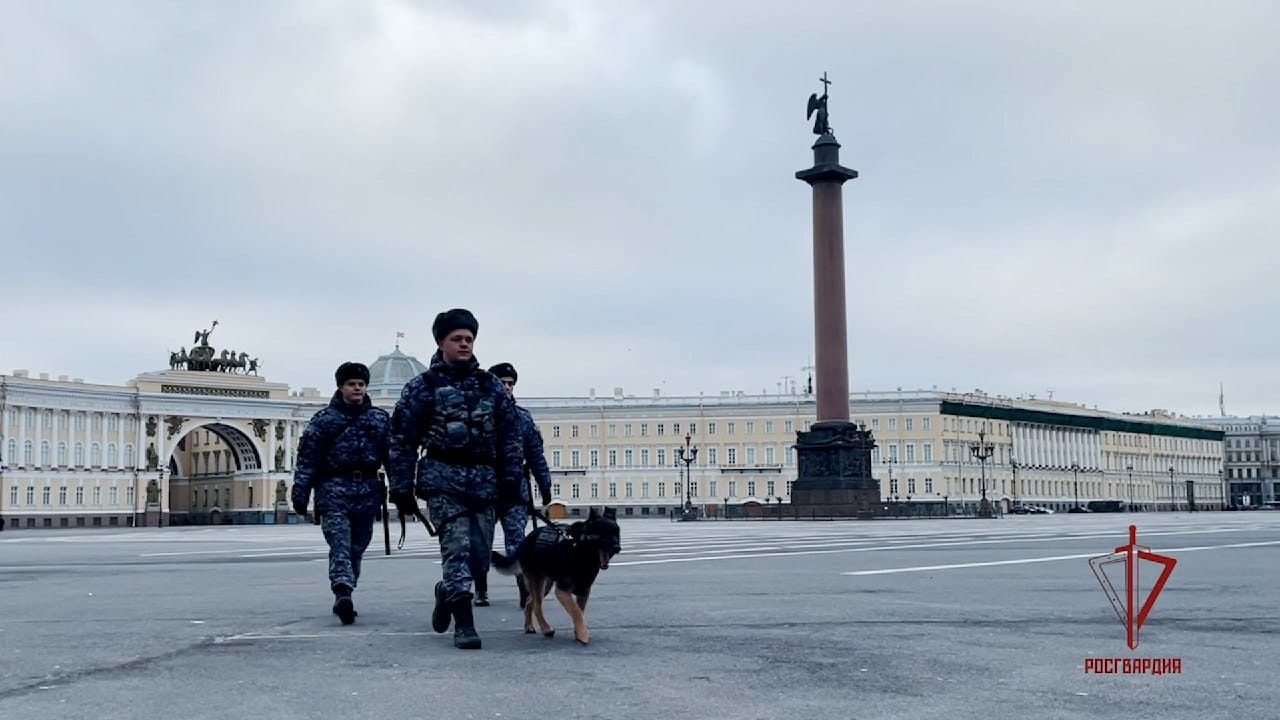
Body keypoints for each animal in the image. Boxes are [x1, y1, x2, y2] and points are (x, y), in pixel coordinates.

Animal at [488, 504, 619, 645]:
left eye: (616, 532)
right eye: (604, 533)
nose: (618, 548)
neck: (579, 548)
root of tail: (525, 540)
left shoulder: (584, 592)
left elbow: (580, 612)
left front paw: (578, 632)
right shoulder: (562, 591)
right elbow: (576, 612)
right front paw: (583, 634)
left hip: (545, 585)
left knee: (530, 602)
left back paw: (529, 626)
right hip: (538, 582)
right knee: (537, 607)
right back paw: (546, 629)